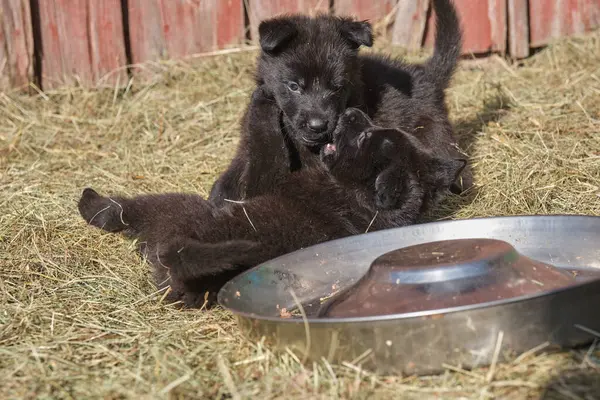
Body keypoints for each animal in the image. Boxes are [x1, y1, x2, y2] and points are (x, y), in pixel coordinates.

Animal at [78, 103, 464, 306]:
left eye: (366, 138)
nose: (352, 111)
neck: (352, 197)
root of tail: (176, 251)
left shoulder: (262, 181)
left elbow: (266, 146)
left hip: (177, 207)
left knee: (122, 211)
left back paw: (90, 201)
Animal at [209, 0, 472, 219]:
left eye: (337, 86)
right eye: (294, 86)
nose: (318, 126)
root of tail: (426, 75)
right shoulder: (246, 150)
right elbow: (229, 180)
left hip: (435, 138)